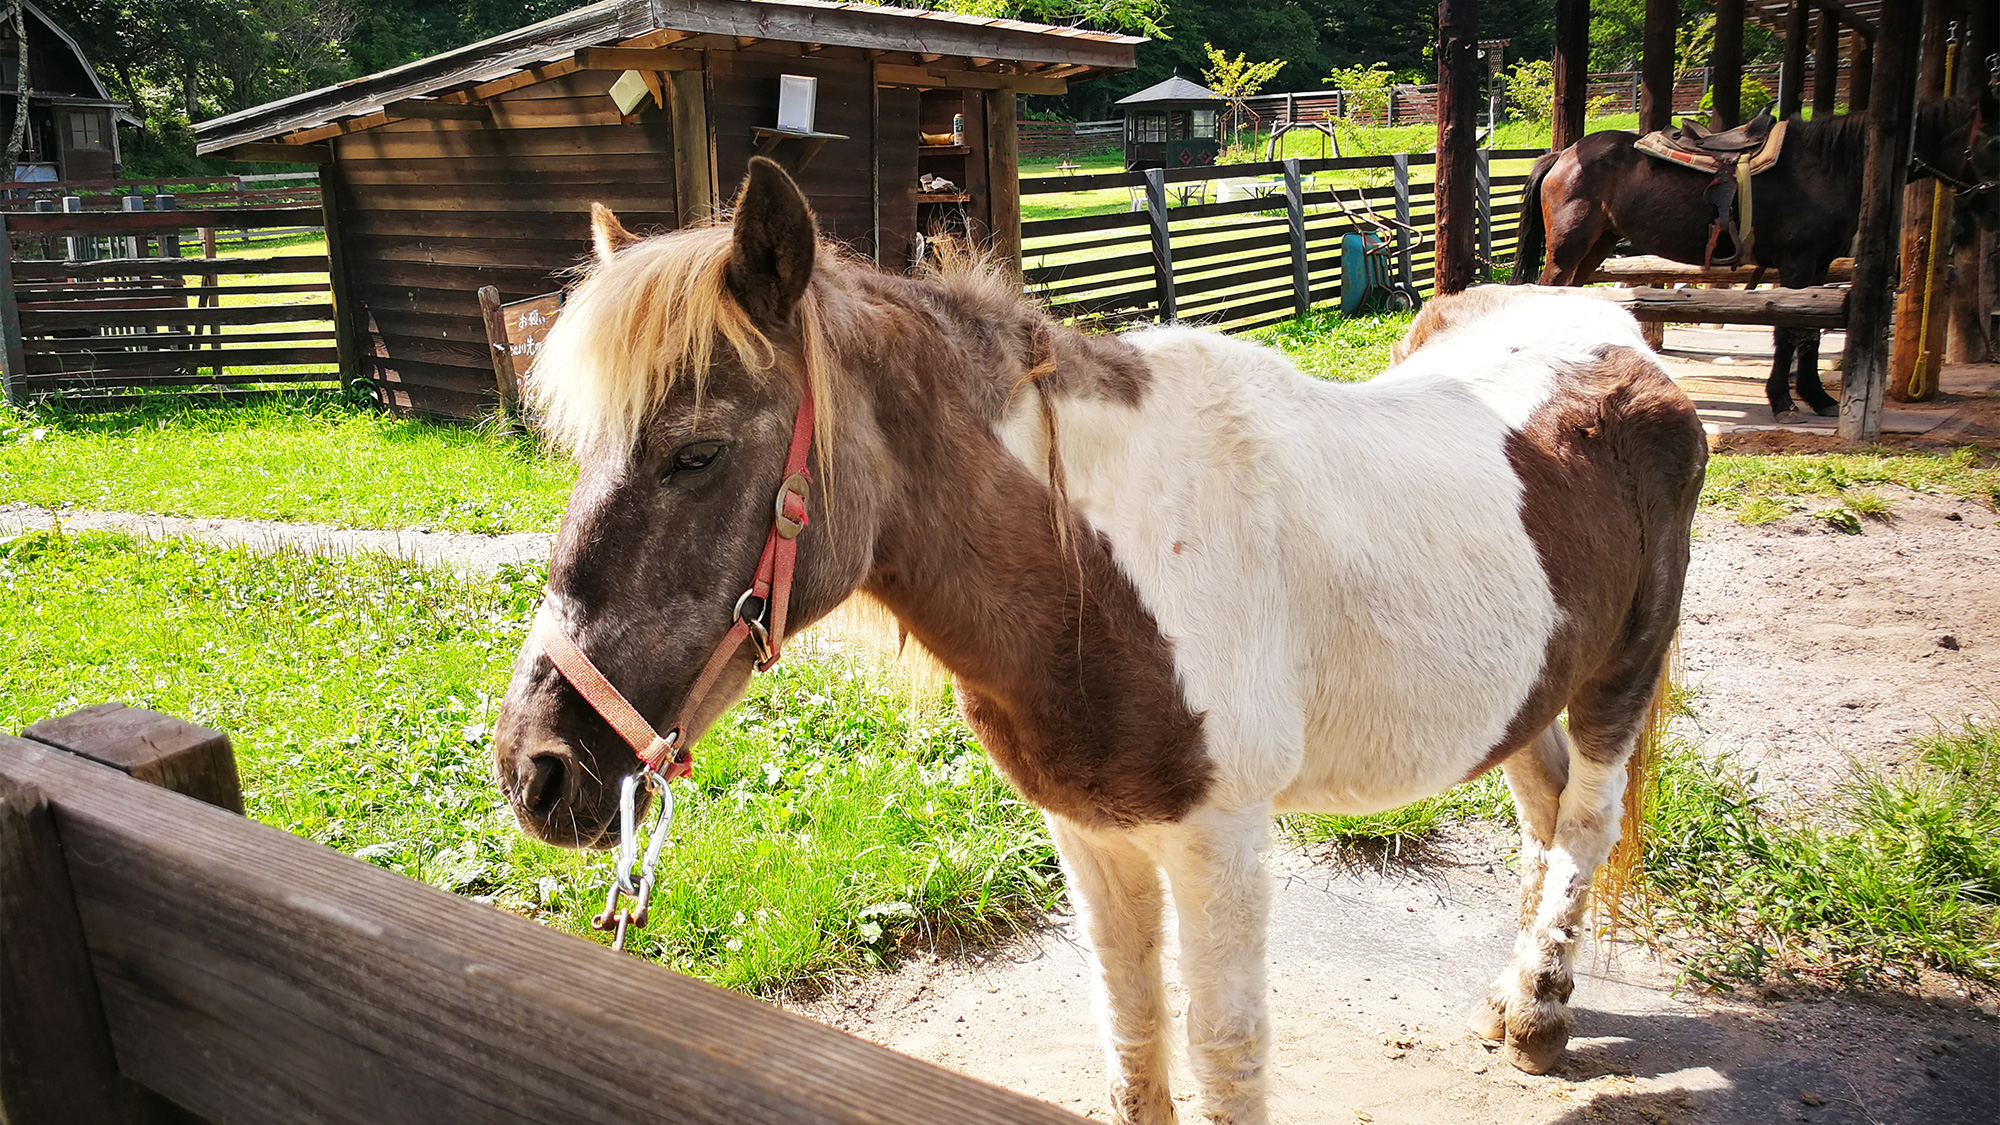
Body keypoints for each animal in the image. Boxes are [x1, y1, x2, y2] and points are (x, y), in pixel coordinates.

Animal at [496, 158, 1704, 1120]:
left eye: (695, 454)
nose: (532, 769)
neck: (1094, 577)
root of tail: (1619, 340)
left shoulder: (1222, 842)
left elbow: (1223, 1056)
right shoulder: (1088, 829)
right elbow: (1129, 1035)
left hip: (1618, 675)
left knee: (1585, 823)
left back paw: (1540, 1015)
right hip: (1526, 689)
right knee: (1543, 811)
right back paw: (1509, 998)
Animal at [1512, 95, 2000, 416]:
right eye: (1992, 142)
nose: (1991, 209)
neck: (1830, 166)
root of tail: (1563, 154)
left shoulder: (1818, 267)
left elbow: (1811, 332)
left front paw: (1817, 397)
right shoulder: (1799, 264)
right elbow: (1791, 331)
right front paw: (1784, 400)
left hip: (1596, 247)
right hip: (1569, 247)